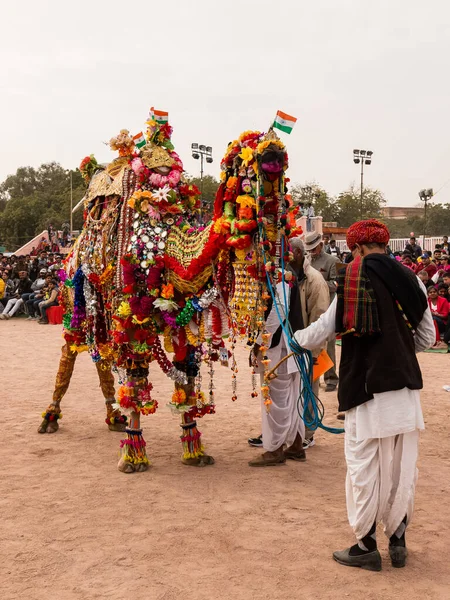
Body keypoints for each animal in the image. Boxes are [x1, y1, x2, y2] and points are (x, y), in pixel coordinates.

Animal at [38, 109, 298, 474]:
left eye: (279, 155)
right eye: (246, 157)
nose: (273, 151)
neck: (166, 242)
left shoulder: (181, 318)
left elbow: (185, 376)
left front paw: (194, 447)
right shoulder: (132, 313)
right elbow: (136, 377)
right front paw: (133, 455)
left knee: (102, 357)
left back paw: (113, 417)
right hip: (73, 294)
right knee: (70, 352)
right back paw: (51, 417)